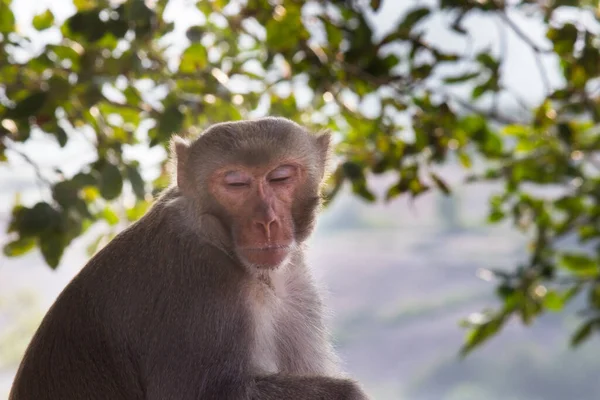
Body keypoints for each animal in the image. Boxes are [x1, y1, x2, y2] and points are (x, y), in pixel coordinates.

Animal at [10, 116, 370, 400]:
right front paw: (346, 393)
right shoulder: (198, 282)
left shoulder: (297, 285)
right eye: (235, 183)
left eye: (280, 177)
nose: (266, 222)